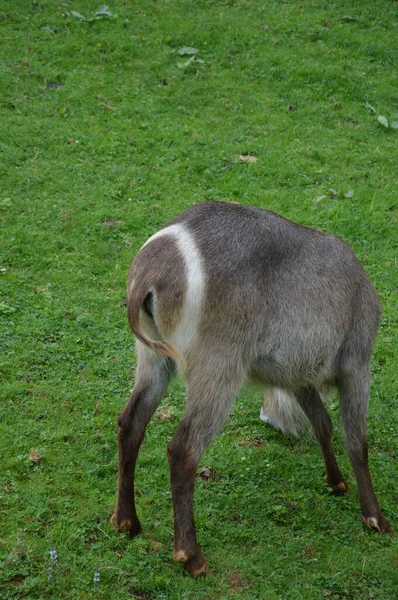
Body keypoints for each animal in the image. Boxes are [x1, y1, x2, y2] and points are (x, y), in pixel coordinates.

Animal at [111, 199, 392, 576]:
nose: (269, 419)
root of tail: (152, 268)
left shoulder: (295, 377)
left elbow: (323, 424)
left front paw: (336, 482)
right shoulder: (356, 364)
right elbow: (357, 443)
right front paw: (375, 517)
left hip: (155, 360)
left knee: (130, 423)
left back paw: (127, 522)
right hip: (218, 370)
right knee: (182, 449)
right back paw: (190, 555)